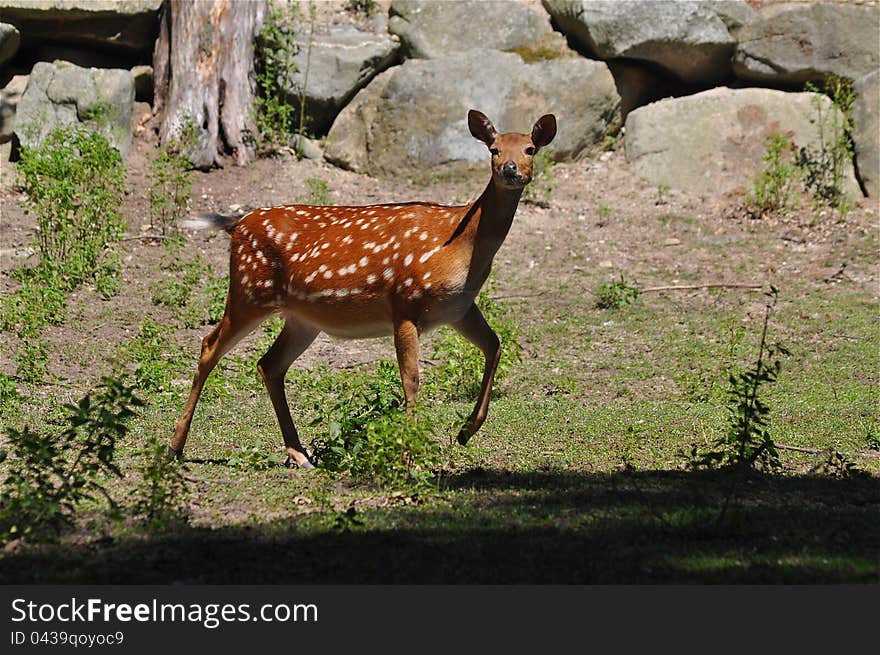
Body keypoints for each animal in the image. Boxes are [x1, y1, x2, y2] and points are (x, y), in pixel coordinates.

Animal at [171, 111, 556, 472]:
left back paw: (300, 454)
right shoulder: (405, 302)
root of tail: (236, 224)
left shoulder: (458, 309)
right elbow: (412, 380)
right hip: (249, 290)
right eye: (493, 149)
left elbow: (494, 345)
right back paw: (176, 447)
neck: (461, 248)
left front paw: (465, 431)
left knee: (269, 364)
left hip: (301, 319)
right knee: (209, 345)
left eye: (530, 149)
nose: (509, 169)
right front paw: (409, 457)